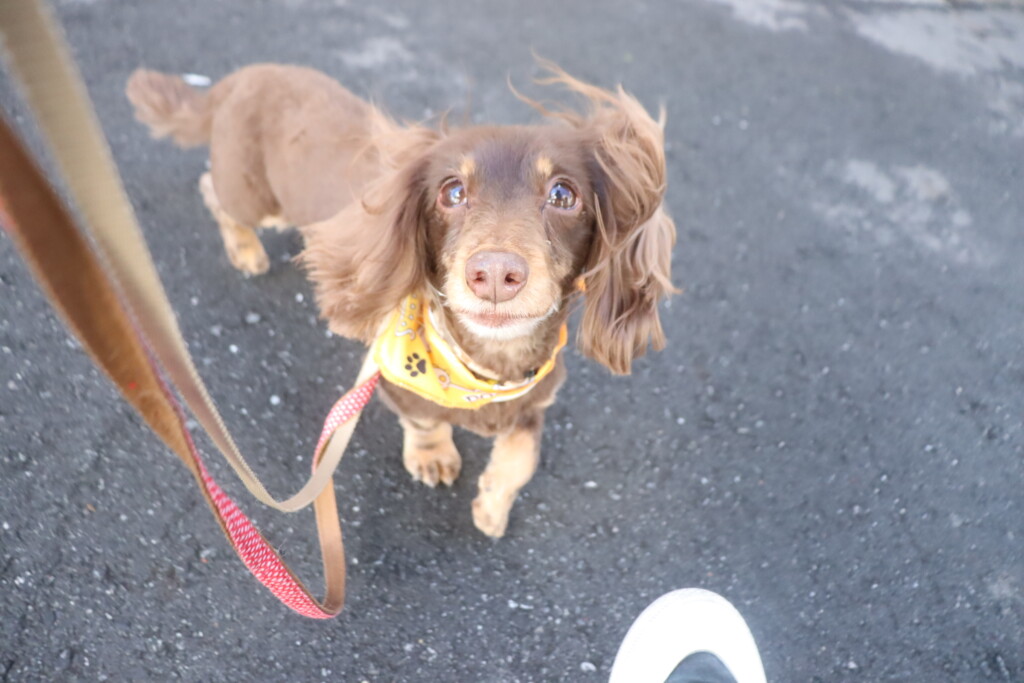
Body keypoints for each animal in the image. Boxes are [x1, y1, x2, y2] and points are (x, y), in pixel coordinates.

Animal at [126, 62, 675, 537]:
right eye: (452, 192)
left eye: (564, 195)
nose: (496, 275)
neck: (482, 372)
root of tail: (243, 75)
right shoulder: (391, 379)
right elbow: (424, 419)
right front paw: (433, 455)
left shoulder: (535, 401)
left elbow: (520, 458)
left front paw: (492, 505)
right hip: (251, 194)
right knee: (214, 193)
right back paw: (244, 249)